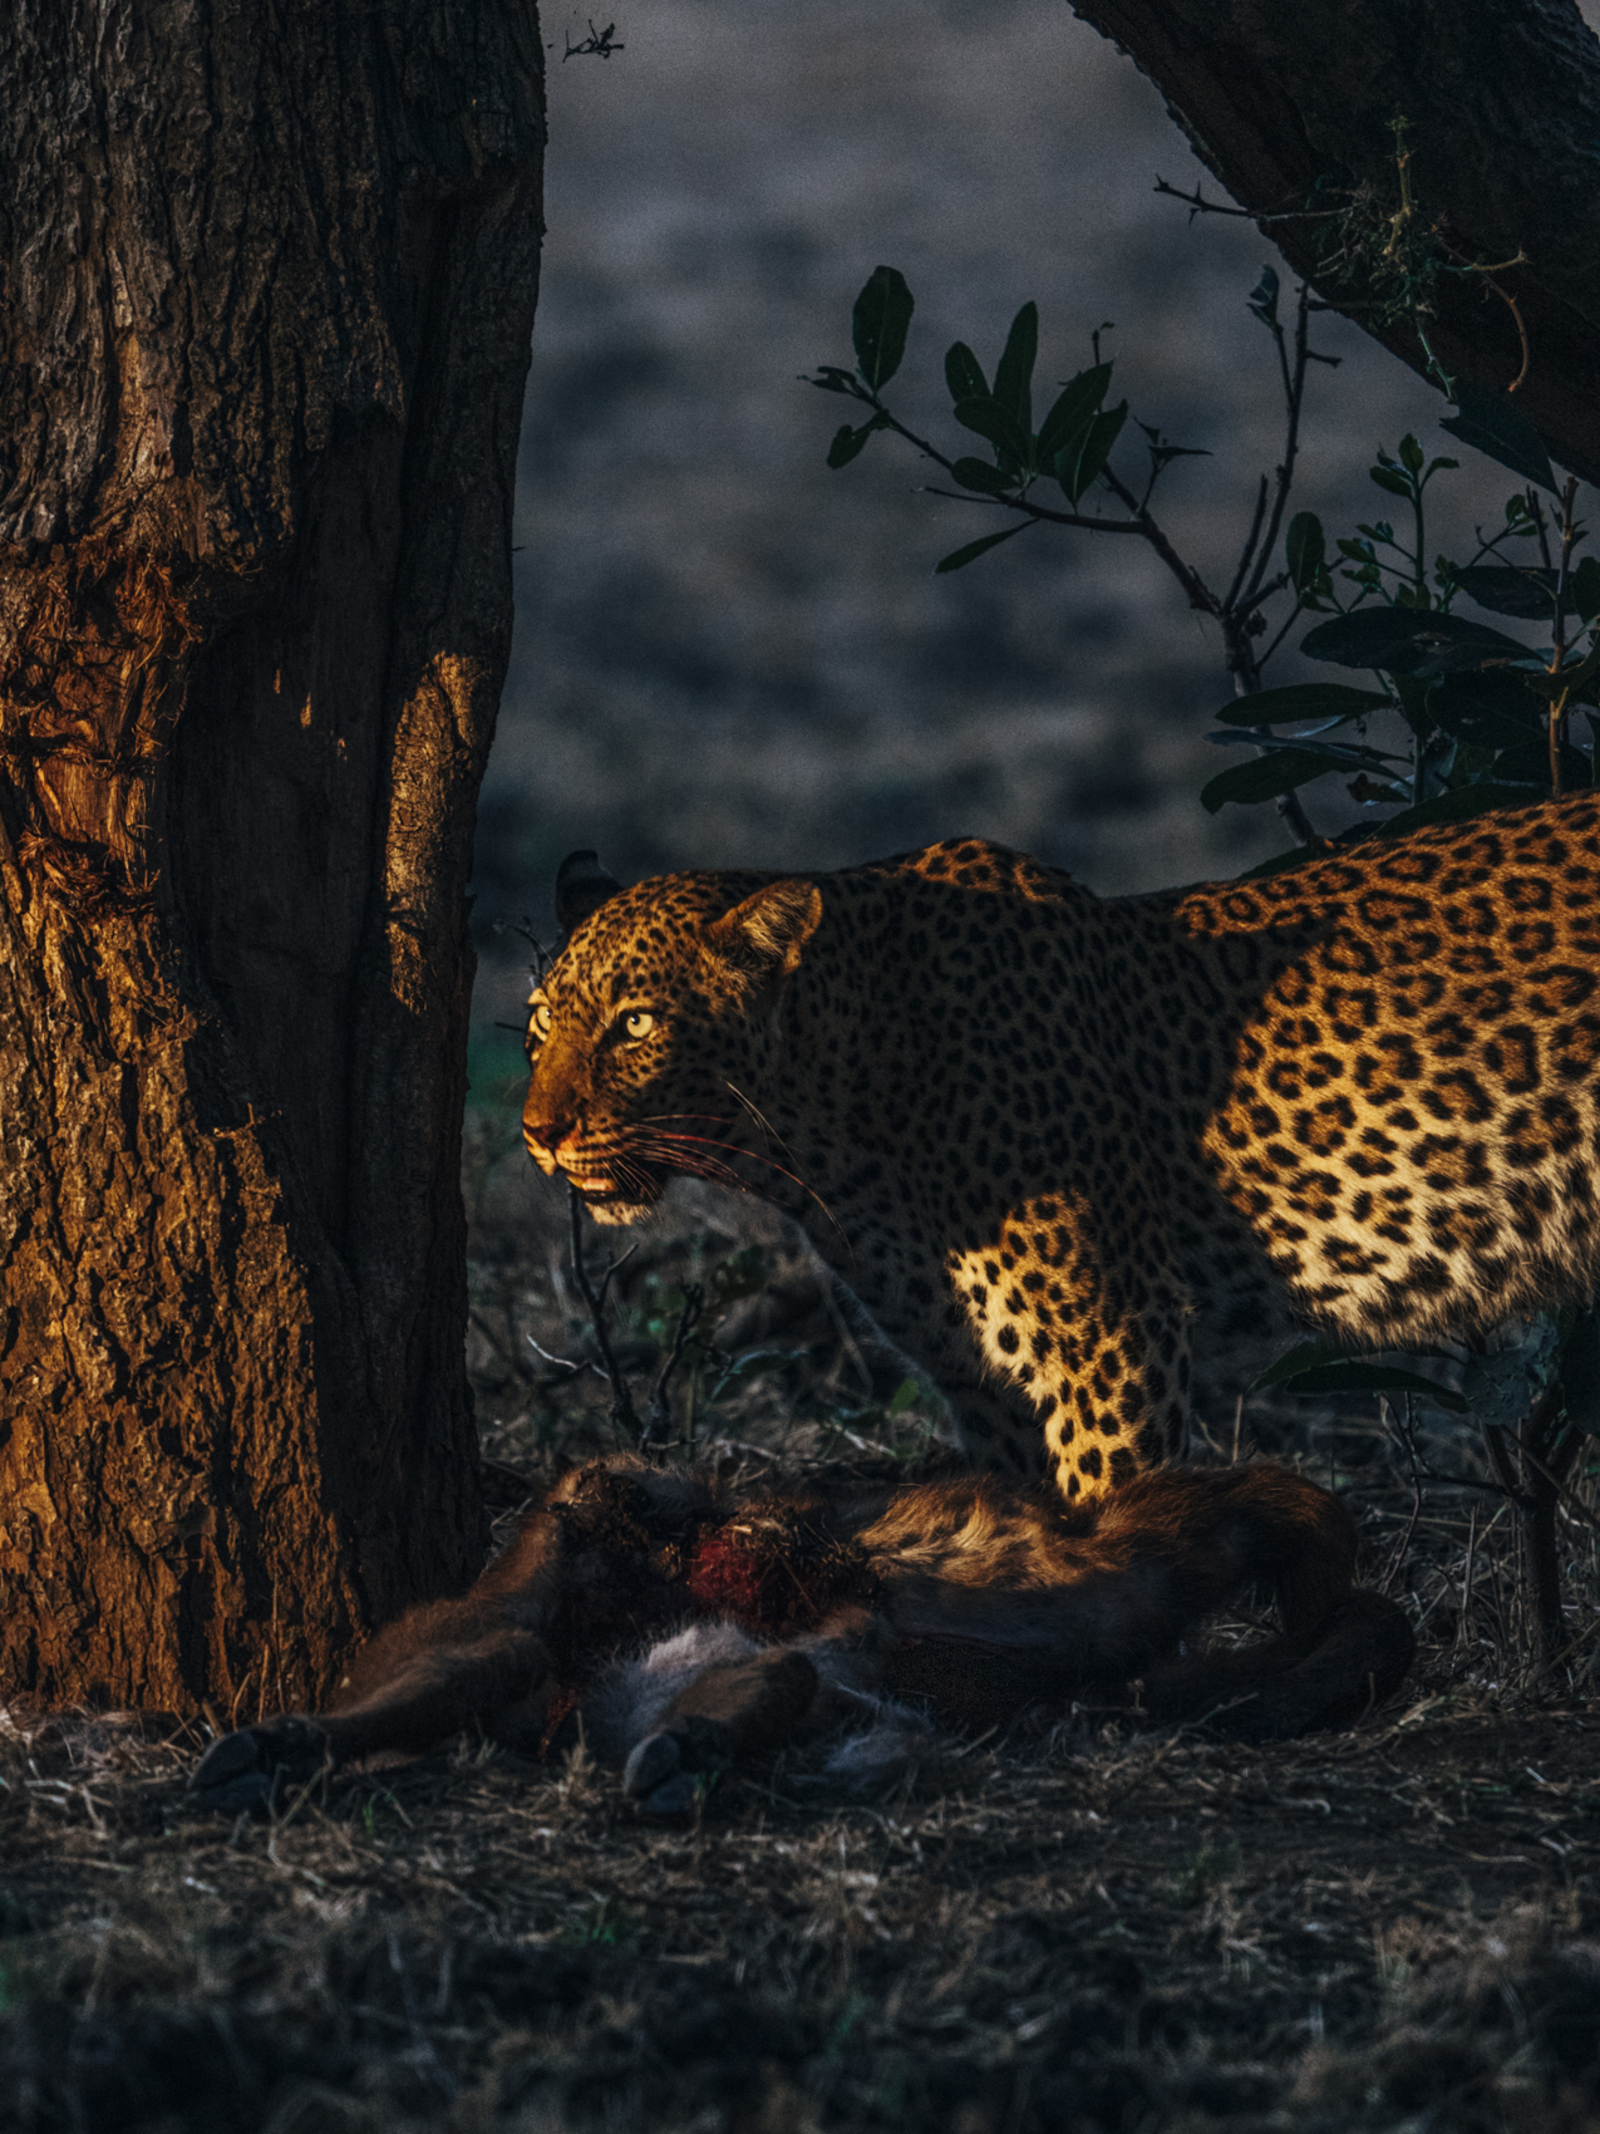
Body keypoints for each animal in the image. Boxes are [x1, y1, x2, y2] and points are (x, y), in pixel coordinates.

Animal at [522, 793, 1600, 1505]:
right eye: (538, 1024)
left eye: (634, 1024)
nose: (538, 1132)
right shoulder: (976, 1374)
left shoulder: (1110, 1336)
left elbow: (1109, 1513)